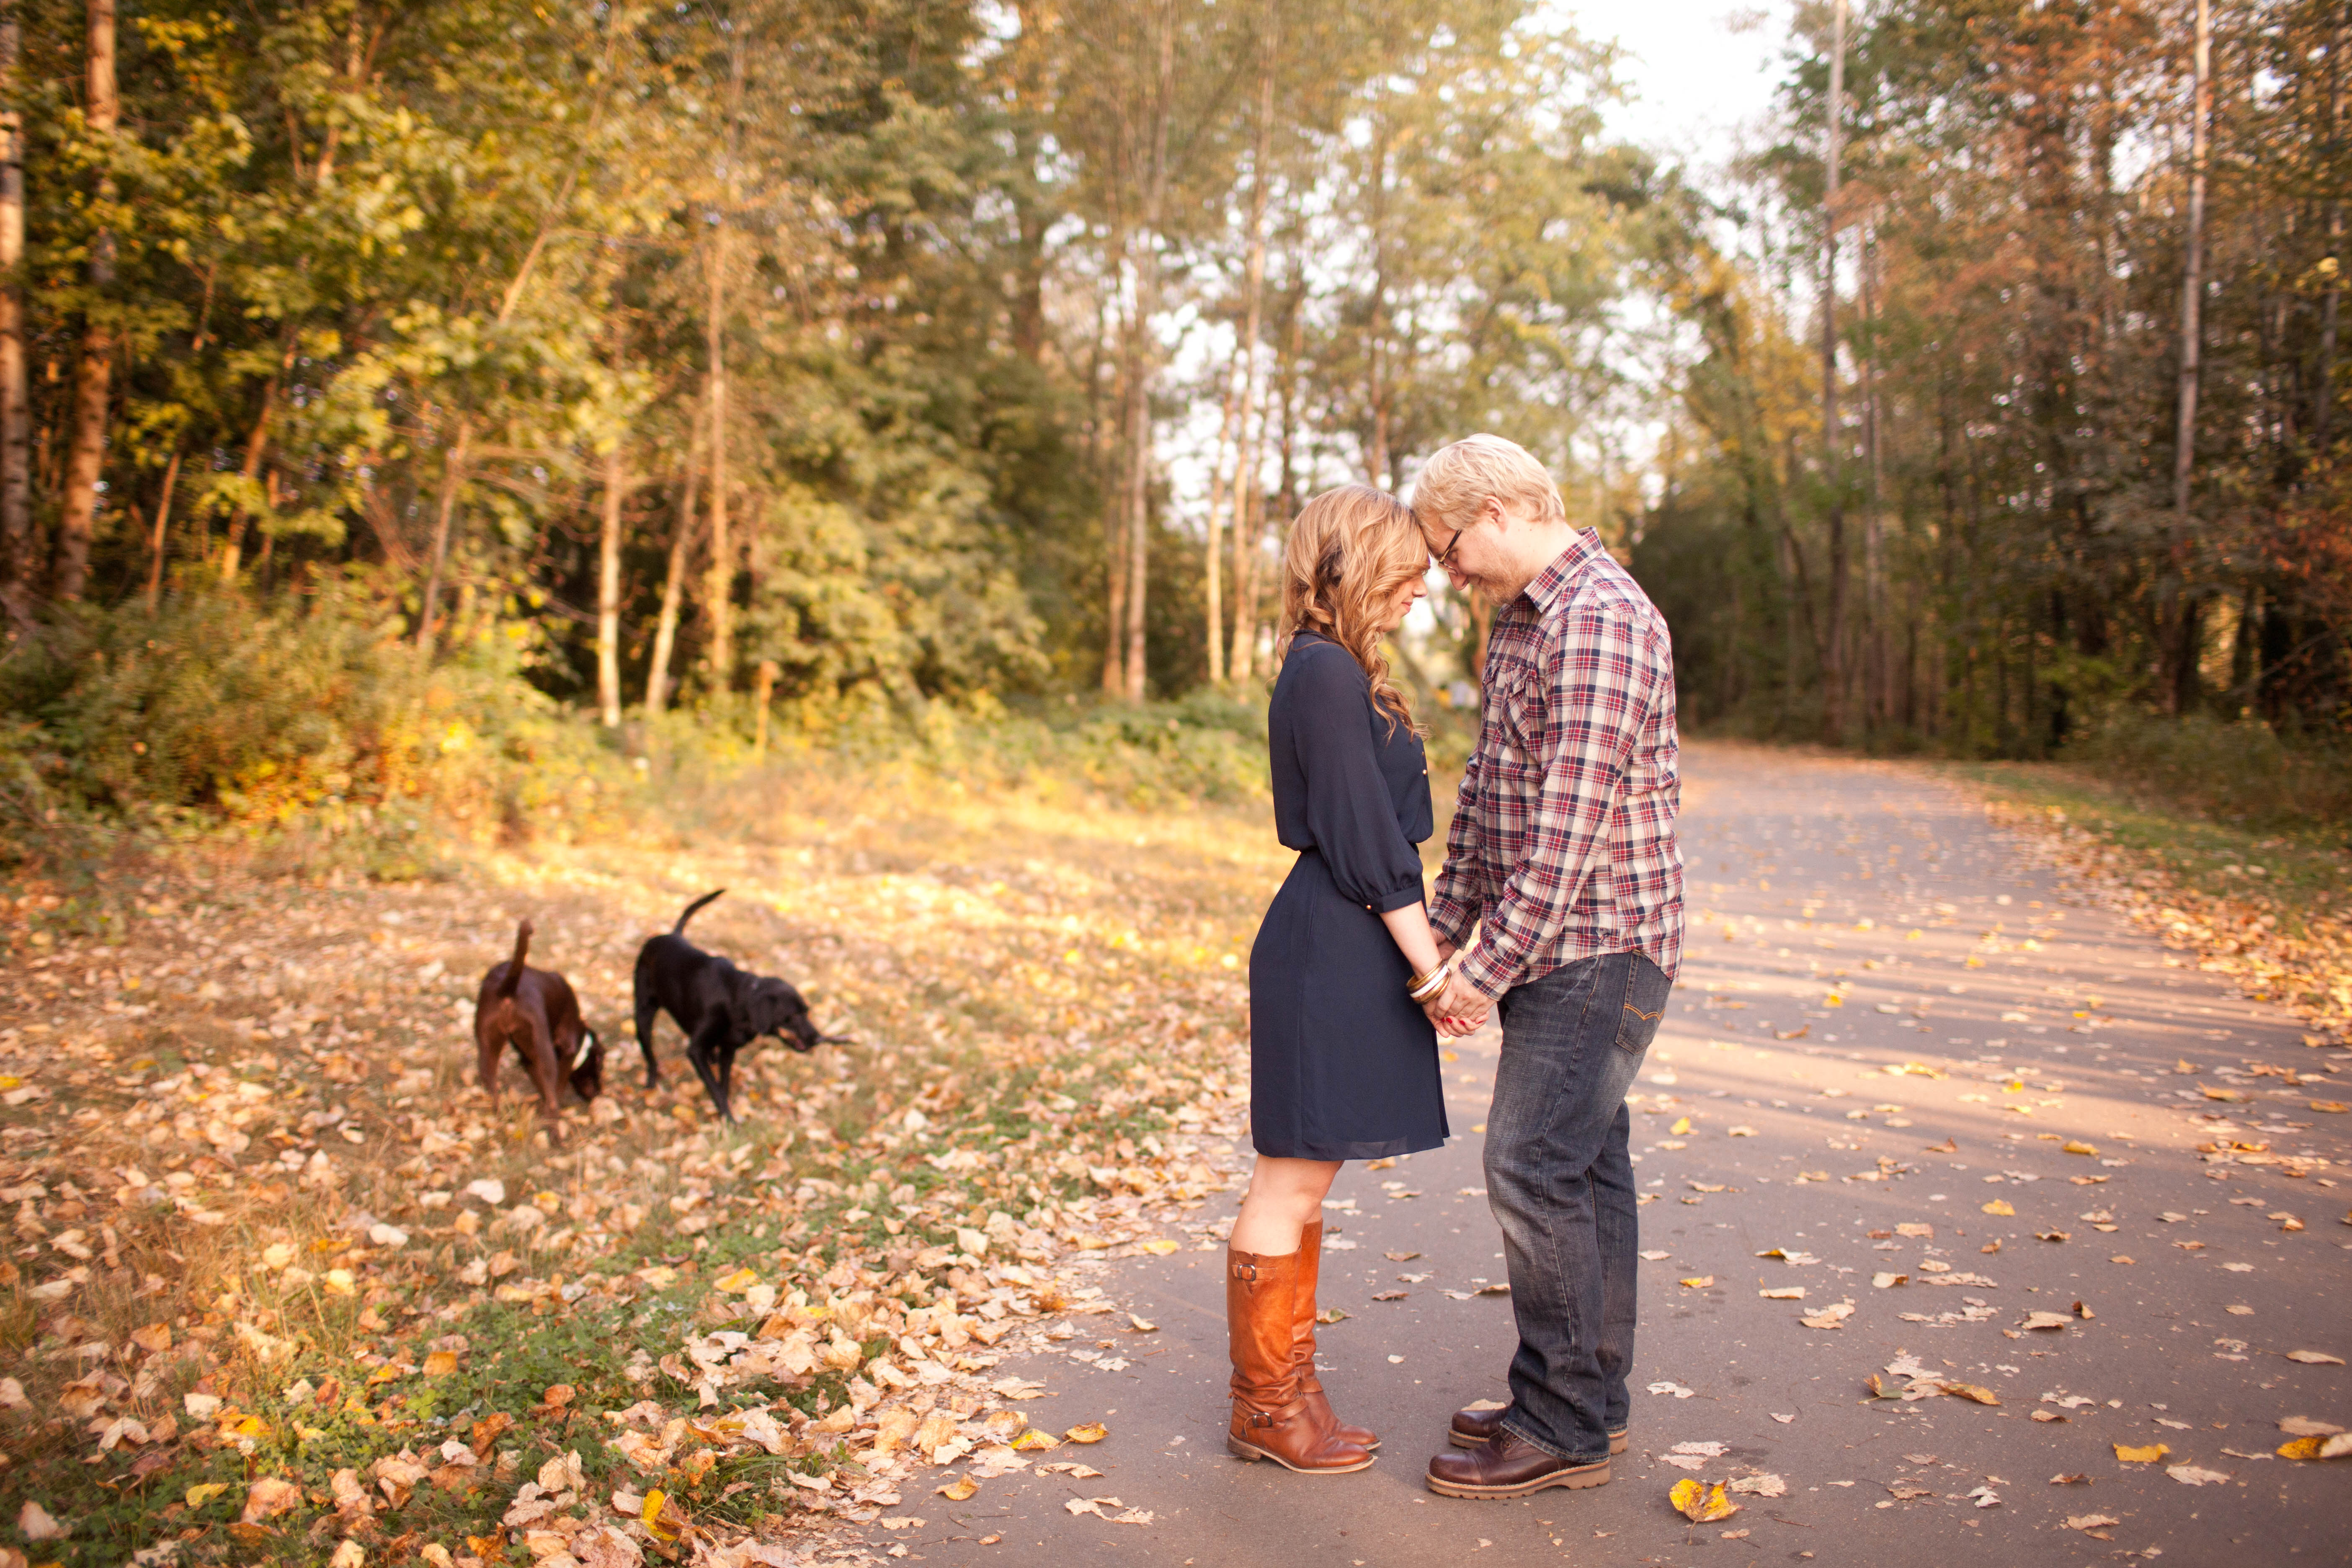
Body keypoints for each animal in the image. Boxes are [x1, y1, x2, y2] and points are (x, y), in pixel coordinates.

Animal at [630, 888, 842, 1124]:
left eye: (807, 1012)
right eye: (794, 1016)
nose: (818, 1039)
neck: (739, 1002)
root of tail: (671, 935)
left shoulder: (728, 1050)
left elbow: (723, 1084)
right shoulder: (696, 1050)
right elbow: (715, 1088)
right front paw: (729, 1121)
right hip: (643, 1016)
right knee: (650, 1054)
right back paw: (650, 1085)